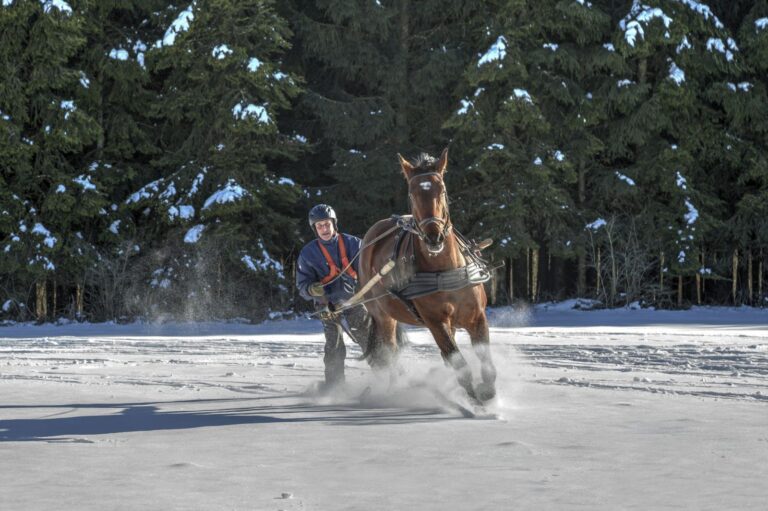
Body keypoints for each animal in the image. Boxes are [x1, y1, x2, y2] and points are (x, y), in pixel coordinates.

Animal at [360, 148, 498, 404]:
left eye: (441, 190)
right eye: (412, 194)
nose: (434, 237)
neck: (444, 271)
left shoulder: (477, 317)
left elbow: (486, 362)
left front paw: (487, 392)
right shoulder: (435, 322)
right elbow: (459, 362)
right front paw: (474, 398)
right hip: (382, 315)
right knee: (390, 352)